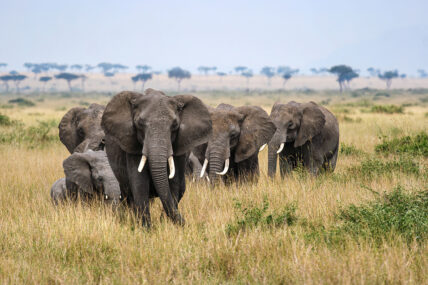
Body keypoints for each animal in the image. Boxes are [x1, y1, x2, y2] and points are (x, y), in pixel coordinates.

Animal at [100, 87, 214, 225]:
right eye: (139, 124)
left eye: (175, 125)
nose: (186, 223)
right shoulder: (133, 146)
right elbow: (139, 184)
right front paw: (146, 228)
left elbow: (173, 185)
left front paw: (166, 225)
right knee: (127, 194)